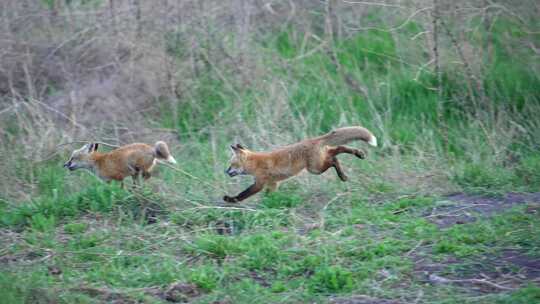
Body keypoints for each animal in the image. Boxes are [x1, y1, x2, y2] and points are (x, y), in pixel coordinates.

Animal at [223, 126, 376, 202]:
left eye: (232, 164)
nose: (226, 171)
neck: (255, 163)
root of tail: (314, 139)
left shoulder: (260, 183)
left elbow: (243, 194)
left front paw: (231, 200)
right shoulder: (273, 183)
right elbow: (269, 195)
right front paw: (269, 203)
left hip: (315, 168)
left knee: (334, 159)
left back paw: (343, 175)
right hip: (320, 161)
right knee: (338, 149)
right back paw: (357, 154)